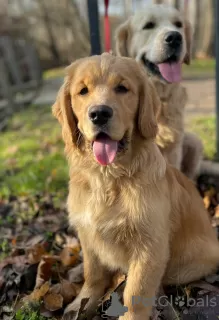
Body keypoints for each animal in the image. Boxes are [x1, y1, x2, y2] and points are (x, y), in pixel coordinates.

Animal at [52, 53, 218, 320]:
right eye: (83, 91)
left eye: (122, 88)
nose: (99, 114)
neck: (108, 178)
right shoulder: (88, 233)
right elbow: (93, 274)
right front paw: (80, 305)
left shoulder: (150, 246)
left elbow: (136, 291)